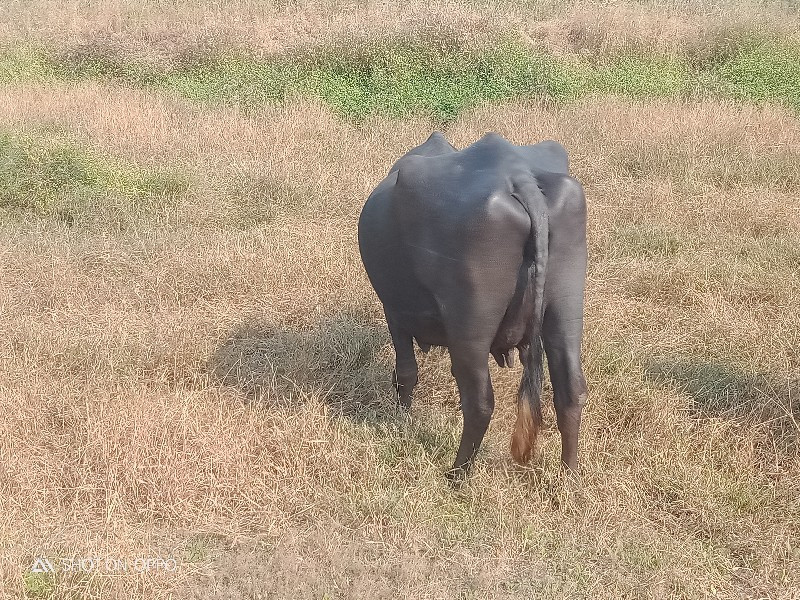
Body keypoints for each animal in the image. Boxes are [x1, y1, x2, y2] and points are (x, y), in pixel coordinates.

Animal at [356, 131, 588, 478]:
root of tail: (519, 176)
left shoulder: (394, 312)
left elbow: (406, 371)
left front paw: (401, 418)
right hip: (567, 305)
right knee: (570, 388)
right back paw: (569, 475)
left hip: (471, 322)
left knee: (479, 401)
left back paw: (457, 474)